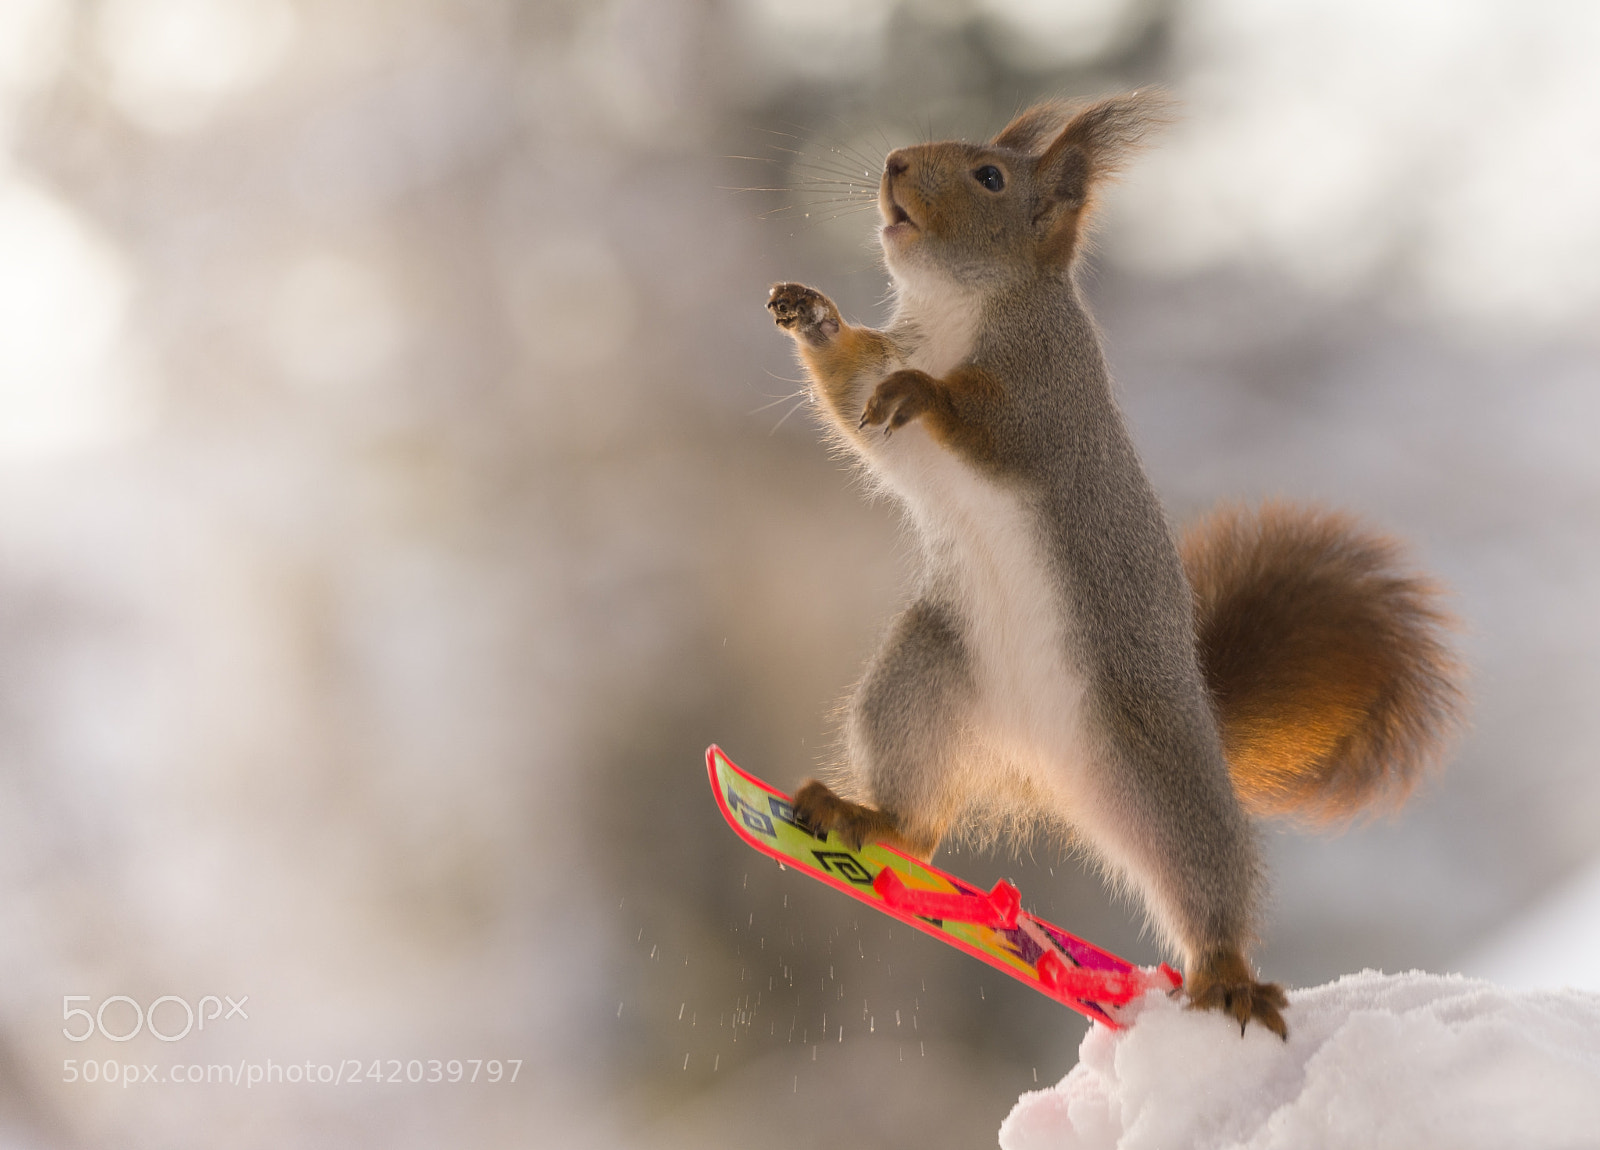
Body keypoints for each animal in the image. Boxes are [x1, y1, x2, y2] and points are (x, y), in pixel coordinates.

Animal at [764, 92, 1465, 1039]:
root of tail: (1039, 771)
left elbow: (985, 425)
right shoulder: (887, 379)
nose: (895, 164)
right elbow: (851, 400)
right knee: (921, 829)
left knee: (1207, 881)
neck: (954, 312)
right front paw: (811, 313)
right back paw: (865, 818)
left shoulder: (1047, 400)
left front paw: (923, 391)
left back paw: (1227, 976)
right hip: (925, 679)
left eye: (990, 177)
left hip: (1162, 775)